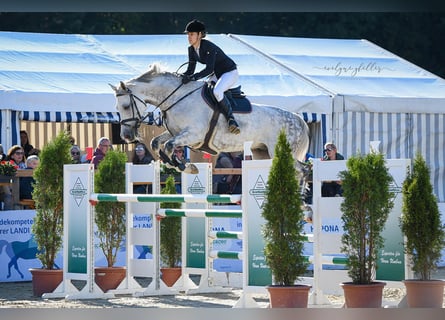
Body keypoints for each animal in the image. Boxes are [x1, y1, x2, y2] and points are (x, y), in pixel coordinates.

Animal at [111, 62, 308, 172]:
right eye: (117, 108)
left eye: (126, 106)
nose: (126, 136)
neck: (177, 97)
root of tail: (298, 119)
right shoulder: (177, 132)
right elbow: (156, 143)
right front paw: (180, 165)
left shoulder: (194, 134)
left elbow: (168, 146)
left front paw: (184, 166)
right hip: (262, 153)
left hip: (282, 152)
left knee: (302, 171)